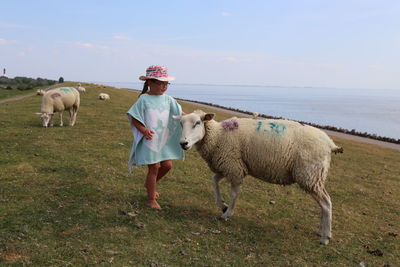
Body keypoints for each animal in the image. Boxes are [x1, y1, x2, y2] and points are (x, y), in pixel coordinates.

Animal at [175, 110, 344, 246]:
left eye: (197, 123)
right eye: (181, 123)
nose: (183, 143)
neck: (218, 135)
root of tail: (330, 144)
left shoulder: (234, 168)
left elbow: (234, 194)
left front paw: (227, 214)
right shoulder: (227, 165)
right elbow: (214, 182)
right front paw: (222, 205)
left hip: (310, 174)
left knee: (326, 203)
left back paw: (325, 238)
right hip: (315, 176)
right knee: (323, 204)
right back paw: (321, 231)